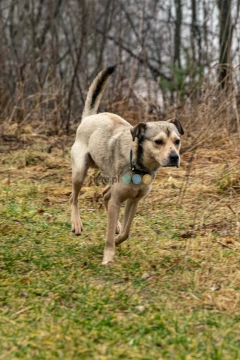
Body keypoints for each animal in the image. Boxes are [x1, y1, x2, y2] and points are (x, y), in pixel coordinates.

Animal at [70, 67, 185, 264]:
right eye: (158, 142)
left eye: (177, 141)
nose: (174, 157)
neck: (139, 168)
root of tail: (90, 117)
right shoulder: (118, 200)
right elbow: (109, 235)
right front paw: (108, 257)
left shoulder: (134, 201)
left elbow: (126, 231)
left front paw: (117, 238)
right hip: (80, 171)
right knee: (74, 197)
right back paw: (76, 223)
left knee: (105, 195)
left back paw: (114, 224)